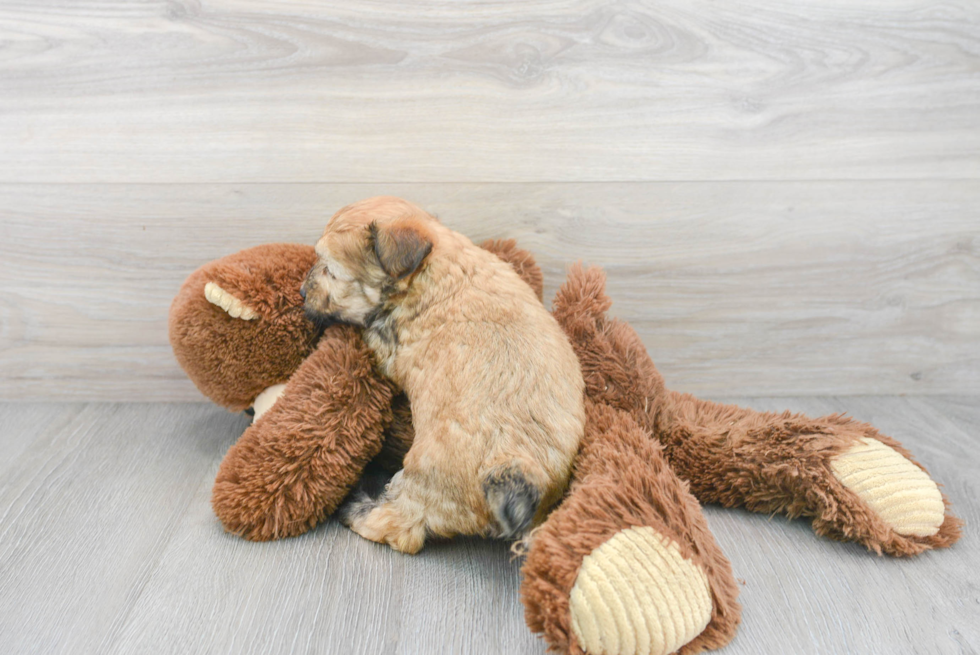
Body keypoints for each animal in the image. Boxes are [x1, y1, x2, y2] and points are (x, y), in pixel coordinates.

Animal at [302, 196, 584, 552]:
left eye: (331, 272)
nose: (301, 292)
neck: (435, 266)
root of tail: (515, 467)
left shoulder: (386, 343)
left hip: (424, 478)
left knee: (399, 525)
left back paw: (356, 504)